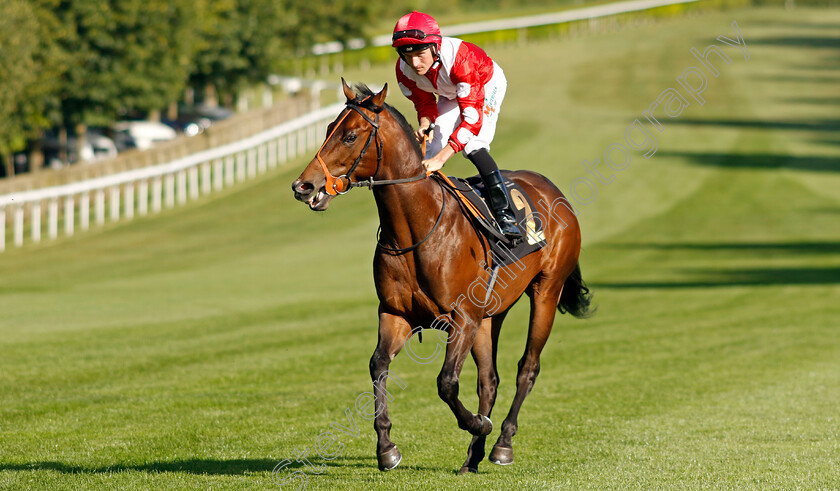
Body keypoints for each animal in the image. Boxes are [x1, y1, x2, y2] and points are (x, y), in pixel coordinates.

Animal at [292, 81, 592, 476]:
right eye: (328, 129)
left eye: (350, 135)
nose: (303, 186)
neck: (415, 229)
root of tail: (554, 190)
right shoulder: (397, 314)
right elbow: (378, 365)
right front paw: (386, 448)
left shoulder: (462, 318)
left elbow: (446, 382)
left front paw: (478, 424)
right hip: (491, 315)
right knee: (489, 380)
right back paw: (473, 456)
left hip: (546, 290)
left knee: (527, 368)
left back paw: (501, 443)